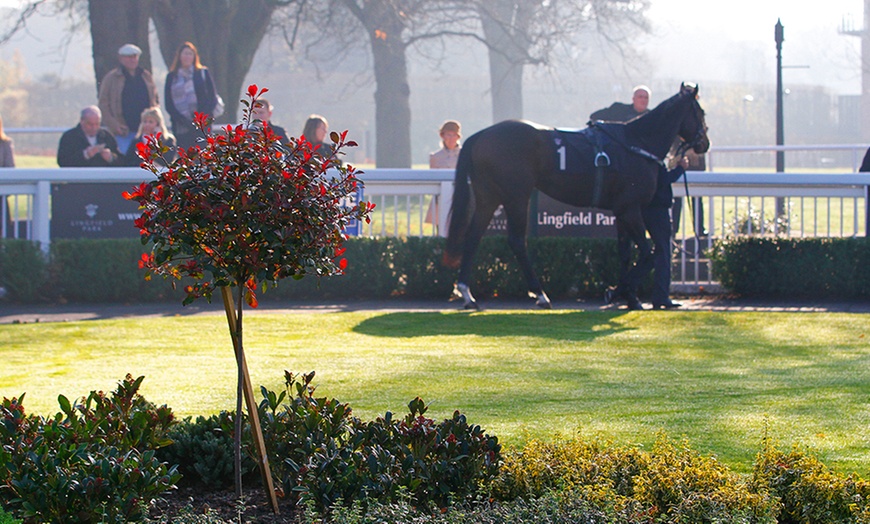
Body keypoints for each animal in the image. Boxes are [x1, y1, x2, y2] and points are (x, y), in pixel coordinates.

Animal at [442, 83, 708, 310]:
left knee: (473, 236)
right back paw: (540, 294)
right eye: (701, 112)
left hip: (488, 196)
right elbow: (648, 254)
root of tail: (480, 135)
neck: (636, 143)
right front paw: (617, 291)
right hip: (516, 196)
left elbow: (625, 254)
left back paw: (467, 294)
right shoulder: (632, 209)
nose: (704, 143)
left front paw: (630, 297)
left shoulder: (621, 211)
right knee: (516, 241)